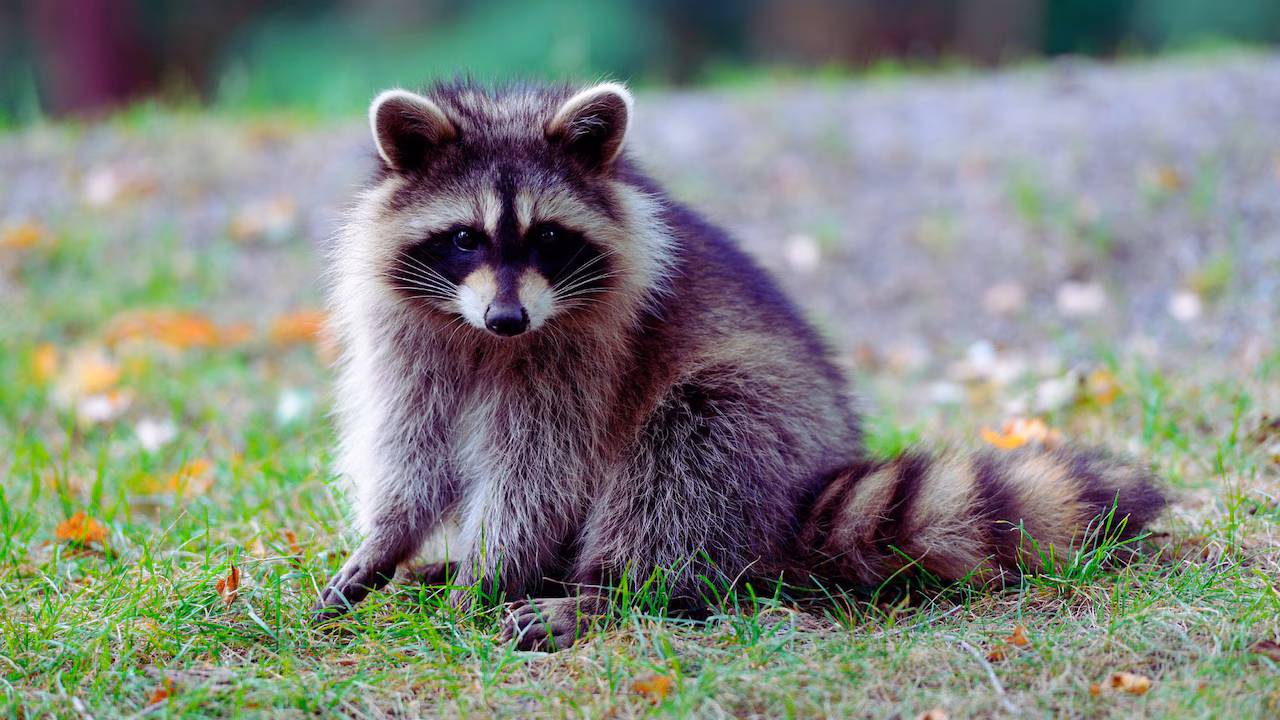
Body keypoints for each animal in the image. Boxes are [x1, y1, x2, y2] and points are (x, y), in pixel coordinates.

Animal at [313, 80, 1165, 651]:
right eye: (465, 239)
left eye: (548, 238)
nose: (508, 318)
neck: (483, 338)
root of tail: (806, 495)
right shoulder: (409, 336)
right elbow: (412, 447)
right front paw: (388, 540)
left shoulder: (585, 353)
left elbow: (540, 469)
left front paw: (492, 572)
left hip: (757, 426)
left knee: (684, 460)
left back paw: (609, 590)